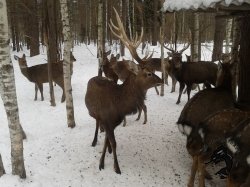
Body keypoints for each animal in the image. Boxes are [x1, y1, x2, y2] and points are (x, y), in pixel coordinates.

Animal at [178, 58, 236, 187]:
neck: (225, 88)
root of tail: (184, 120)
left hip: (194, 138)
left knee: (193, 154)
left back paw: (193, 182)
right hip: (207, 136)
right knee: (199, 157)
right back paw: (204, 180)